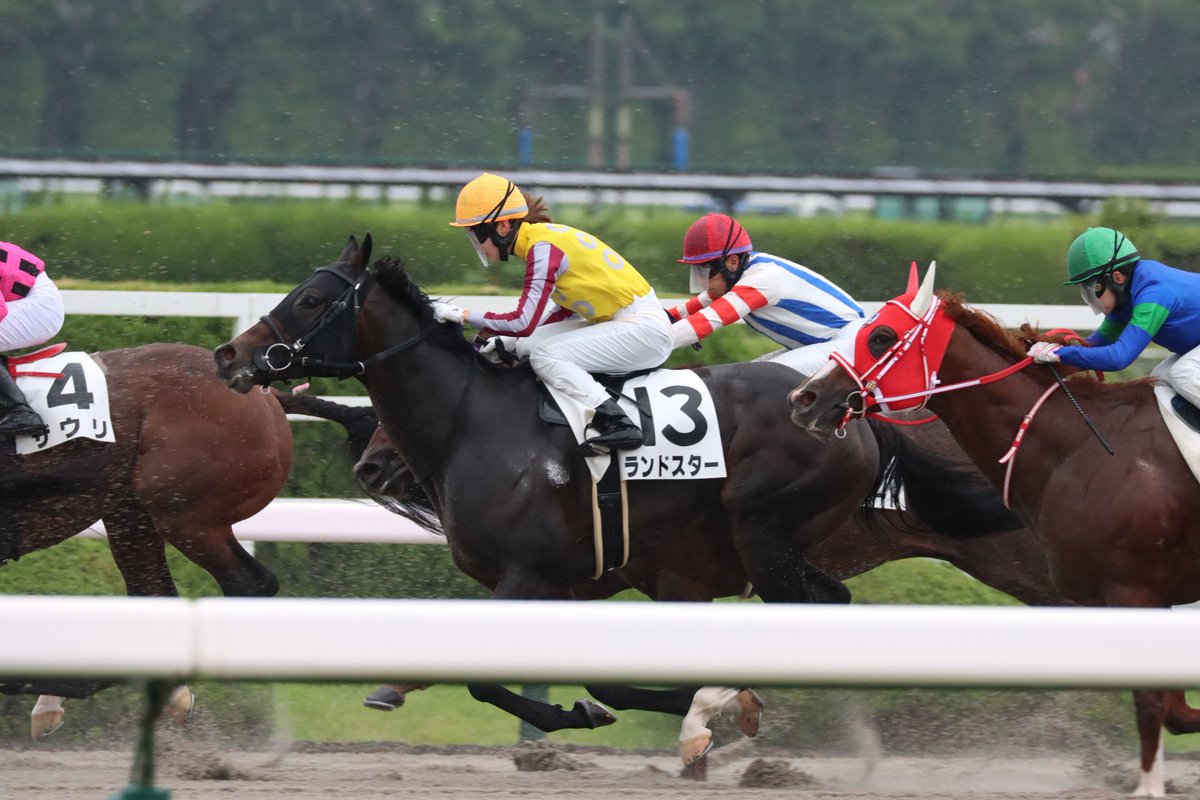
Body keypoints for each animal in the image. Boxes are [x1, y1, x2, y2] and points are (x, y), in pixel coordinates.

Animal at [212, 235, 1021, 765]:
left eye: (311, 299)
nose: (230, 356)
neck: (478, 421)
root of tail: (851, 414)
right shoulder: (577, 583)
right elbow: (604, 679)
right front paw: (604, 708)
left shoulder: (530, 575)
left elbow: (482, 675)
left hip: (764, 535)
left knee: (821, 607)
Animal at [787, 263, 1200, 798]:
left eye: (880, 337)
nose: (804, 398)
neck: (1080, 446)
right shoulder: (1134, 598)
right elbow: (1174, 708)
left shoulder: (1135, 592)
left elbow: (1155, 705)